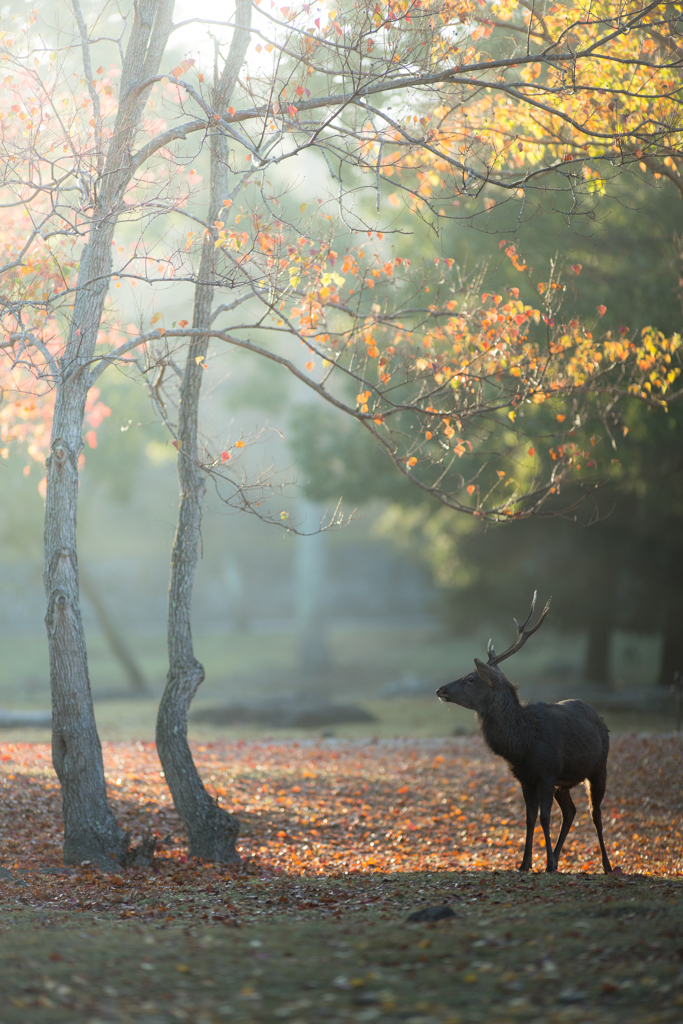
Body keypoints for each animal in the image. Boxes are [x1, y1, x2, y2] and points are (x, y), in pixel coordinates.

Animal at [438, 598, 614, 876]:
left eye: (470, 678)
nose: (440, 689)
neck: (523, 745)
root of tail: (600, 718)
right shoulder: (525, 777)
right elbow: (530, 817)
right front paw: (525, 863)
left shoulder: (547, 772)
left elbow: (544, 817)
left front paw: (546, 864)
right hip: (565, 783)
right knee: (571, 811)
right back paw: (557, 858)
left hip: (599, 767)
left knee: (595, 813)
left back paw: (606, 865)